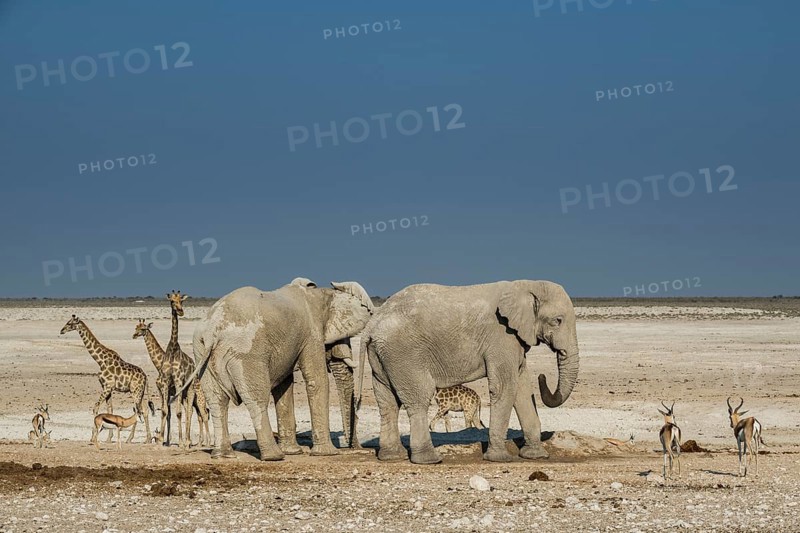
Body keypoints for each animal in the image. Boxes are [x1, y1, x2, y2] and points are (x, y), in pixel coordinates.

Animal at [172, 278, 373, 460]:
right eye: (342, 337)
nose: (355, 448)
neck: (322, 294)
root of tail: (212, 331)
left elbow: (283, 387)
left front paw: (294, 452)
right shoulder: (311, 334)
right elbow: (317, 381)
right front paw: (326, 453)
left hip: (201, 353)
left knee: (217, 400)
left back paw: (223, 455)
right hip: (246, 353)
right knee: (257, 398)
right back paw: (273, 456)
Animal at [356, 280, 579, 464]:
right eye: (557, 320)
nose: (543, 376)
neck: (525, 285)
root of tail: (371, 325)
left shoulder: (514, 340)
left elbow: (522, 388)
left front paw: (536, 456)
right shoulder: (501, 336)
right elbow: (504, 387)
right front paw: (499, 458)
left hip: (383, 355)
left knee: (387, 402)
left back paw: (392, 456)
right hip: (404, 354)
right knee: (418, 399)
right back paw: (429, 460)